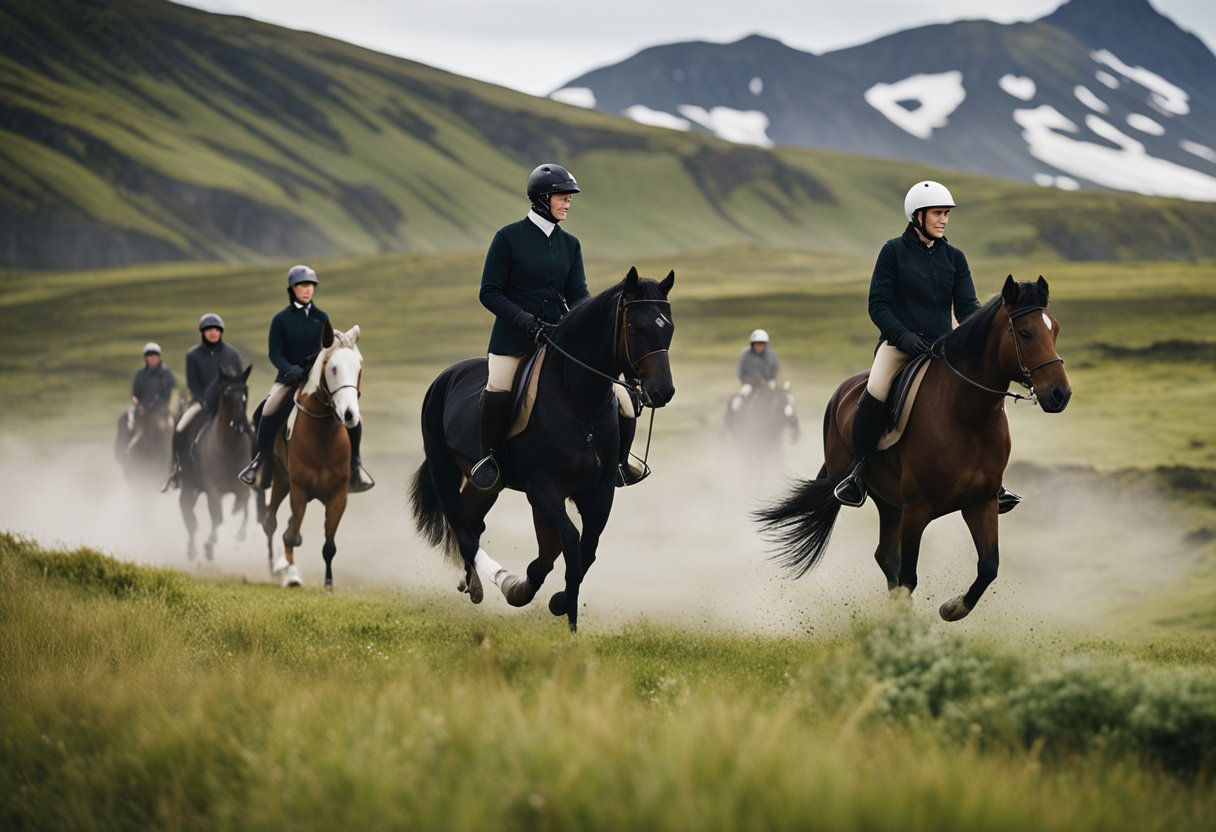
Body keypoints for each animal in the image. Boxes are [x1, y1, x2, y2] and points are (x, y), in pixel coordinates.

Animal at [408, 266, 676, 632]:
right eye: (635, 327)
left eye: (669, 327)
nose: (662, 391)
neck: (579, 404)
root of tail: (446, 375)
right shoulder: (543, 487)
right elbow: (571, 545)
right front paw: (565, 618)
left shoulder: (599, 490)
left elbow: (583, 549)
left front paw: (555, 599)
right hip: (443, 469)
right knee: (463, 530)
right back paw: (493, 581)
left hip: (490, 485)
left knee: (473, 523)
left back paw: (476, 580)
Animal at [753, 276, 1070, 620]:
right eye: (1025, 332)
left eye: (1054, 329)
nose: (1060, 394)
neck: (967, 416)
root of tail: (844, 390)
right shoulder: (917, 509)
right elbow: (909, 576)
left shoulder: (981, 501)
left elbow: (988, 567)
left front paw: (952, 608)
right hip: (880, 495)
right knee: (890, 561)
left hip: (891, 504)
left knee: (885, 556)